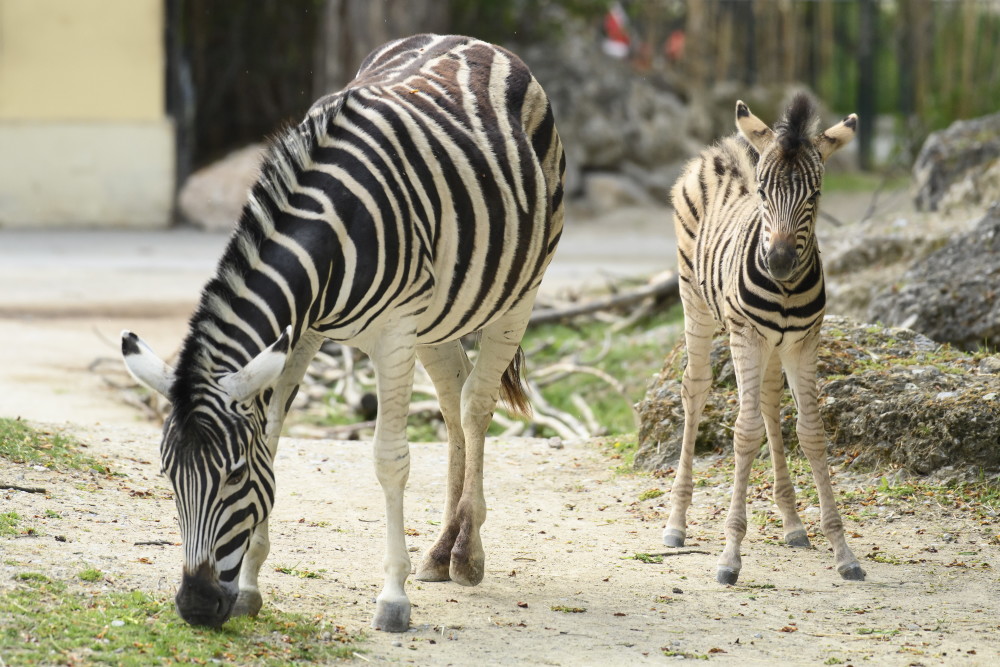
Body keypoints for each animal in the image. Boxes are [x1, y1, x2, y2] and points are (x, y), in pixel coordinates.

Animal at [119, 35, 564, 632]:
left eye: (233, 477)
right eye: (168, 475)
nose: (194, 606)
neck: (332, 226)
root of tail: (473, 41)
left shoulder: (395, 333)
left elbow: (389, 459)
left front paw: (393, 598)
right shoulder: (299, 333)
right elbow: (273, 440)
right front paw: (253, 586)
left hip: (519, 293)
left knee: (476, 402)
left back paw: (467, 553)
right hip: (437, 319)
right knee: (451, 397)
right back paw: (440, 550)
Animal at [660, 92, 864, 584]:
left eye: (815, 195)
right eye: (764, 193)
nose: (780, 262)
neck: (786, 290)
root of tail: (723, 148)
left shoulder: (803, 342)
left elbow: (811, 433)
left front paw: (842, 551)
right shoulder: (747, 337)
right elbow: (745, 432)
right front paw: (730, 556)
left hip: (774, 346)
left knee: (771, 401)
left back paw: (792, 524)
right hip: (694, 302)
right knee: (694, 390)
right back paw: (676, 523)